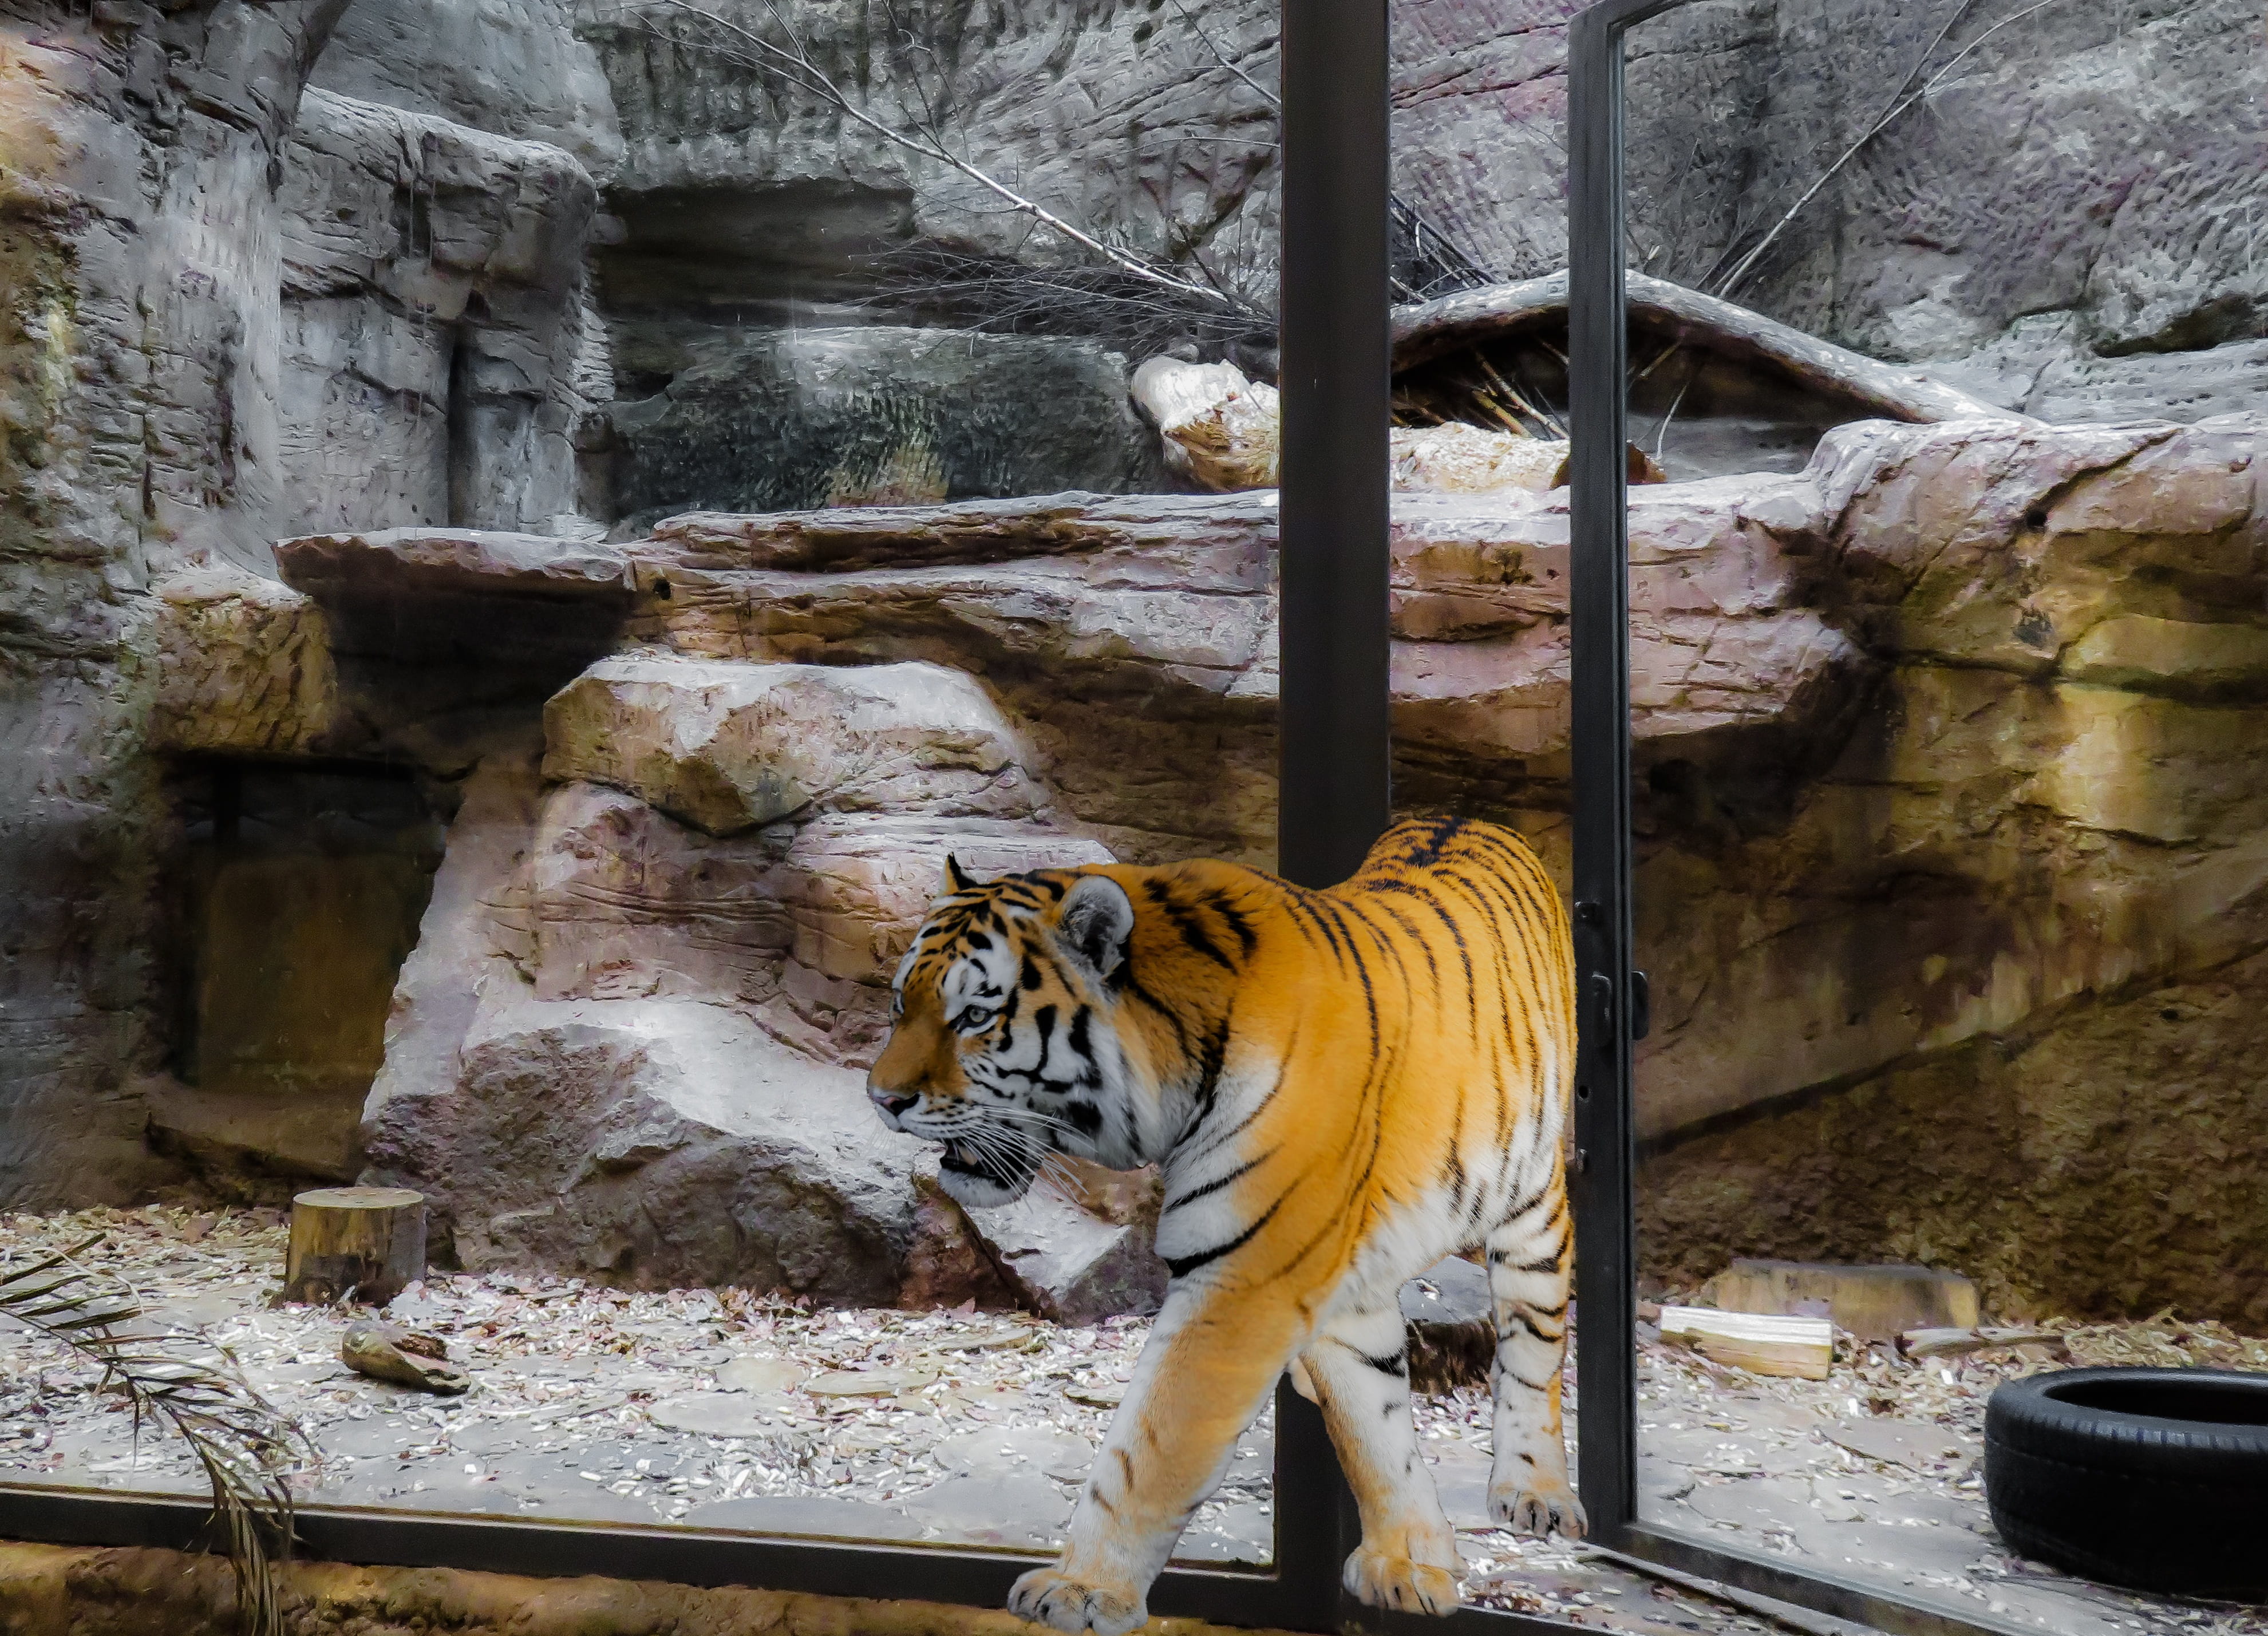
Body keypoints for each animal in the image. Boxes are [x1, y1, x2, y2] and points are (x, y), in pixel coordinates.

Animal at [866, 814, 1582, 1635]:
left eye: (976, 1017)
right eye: (899, 1004)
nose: (880, 1098)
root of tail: (1465, 818)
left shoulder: (1244, 1279)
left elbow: (1149, 1448)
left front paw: (1081, 1589)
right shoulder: (1321, 1277)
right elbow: (1371, 1427)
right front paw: (1407, 1560)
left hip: (1531, 1204)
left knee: (1532, 1349)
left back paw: (1534, 1492)